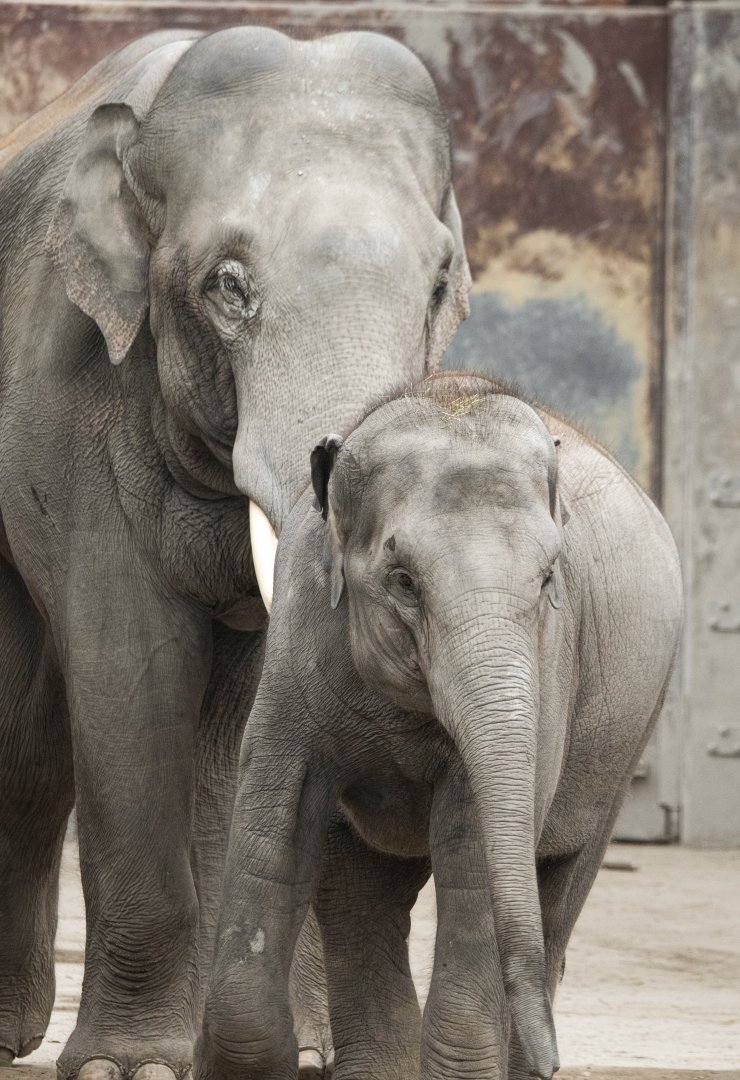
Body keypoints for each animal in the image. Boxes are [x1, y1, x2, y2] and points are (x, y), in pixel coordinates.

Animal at [0, 26, 470, 1080]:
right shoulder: (68, 393)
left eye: (438, 286)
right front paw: (129, 1065)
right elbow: (131, 669)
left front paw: (257, 1051)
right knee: (26, 731)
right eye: (229, 286)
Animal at [199, 372, 683, 1080]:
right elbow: (275, 817)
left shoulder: (550, 664)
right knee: (361, 896)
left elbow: (475, 846)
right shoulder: (298, 636)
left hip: (627, 737)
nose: (556, 1063)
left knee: (560, 884)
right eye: (402, 580)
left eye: (548, 578)